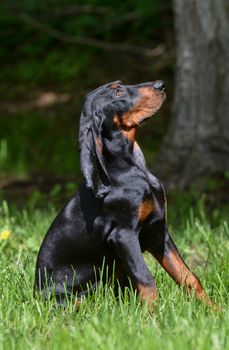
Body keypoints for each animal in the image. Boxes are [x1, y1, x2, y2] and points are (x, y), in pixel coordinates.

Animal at [34, 80, 213, 308]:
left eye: (119, 84)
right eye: (118, 92)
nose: (160, 85)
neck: (133, 169)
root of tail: (34, 293)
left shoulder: (158, 232)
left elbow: (188, 276)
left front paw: (215, 310)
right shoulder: (123, 236)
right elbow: (146, 280)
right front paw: (153, 316)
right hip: (68, 297)